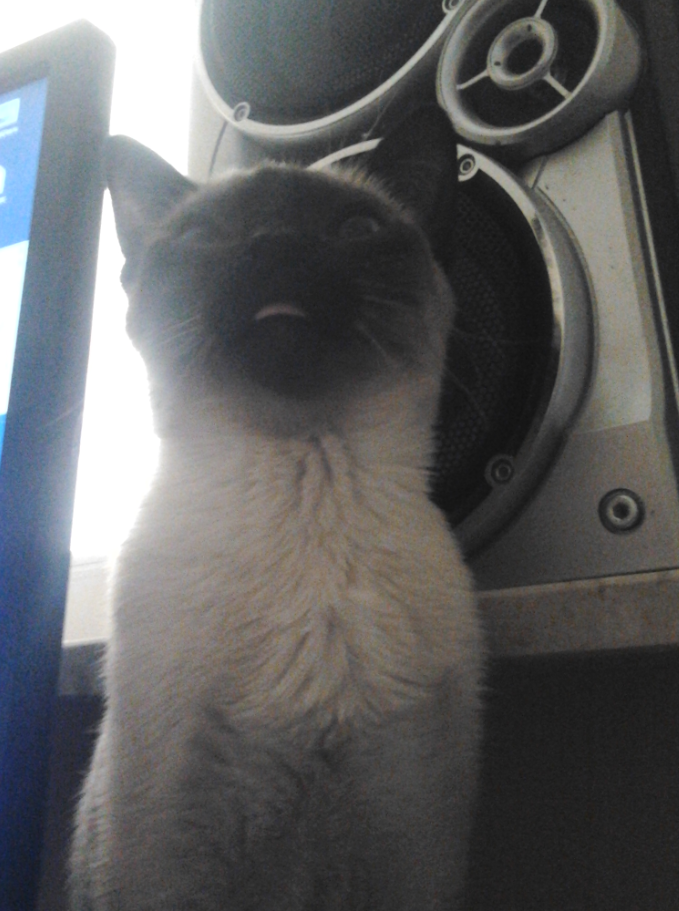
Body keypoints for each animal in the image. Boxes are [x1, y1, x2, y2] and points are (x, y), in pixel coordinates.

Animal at [69, 105, 484, 911]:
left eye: (355, 228)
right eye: (204, 237)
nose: (276, 243)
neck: (305, 490)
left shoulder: (412, 852)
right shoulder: (165, 863)